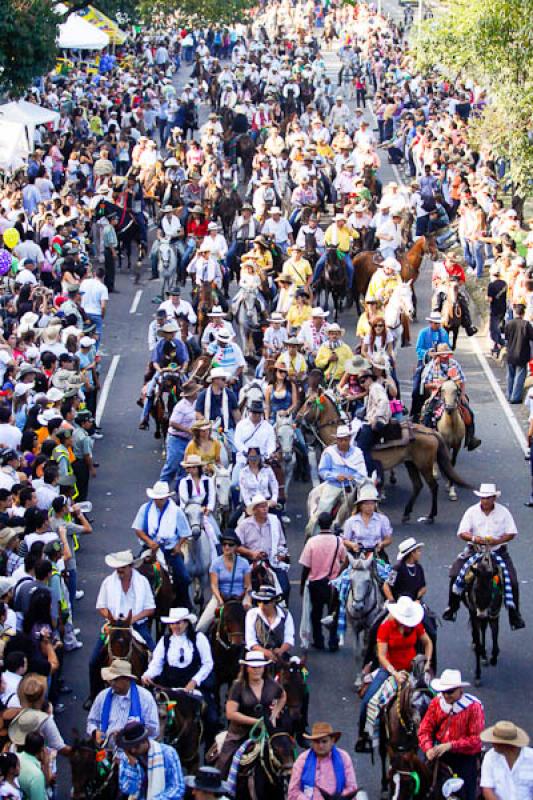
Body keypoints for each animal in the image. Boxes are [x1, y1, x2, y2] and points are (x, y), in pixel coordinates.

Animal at [296, 390, 470, 520]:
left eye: (309, 403)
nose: (297, 418)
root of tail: (431, 431)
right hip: (411, 463)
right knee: (418, 486)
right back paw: (406, 513)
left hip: (424, 465)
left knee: (433, 486)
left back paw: (431, 515)